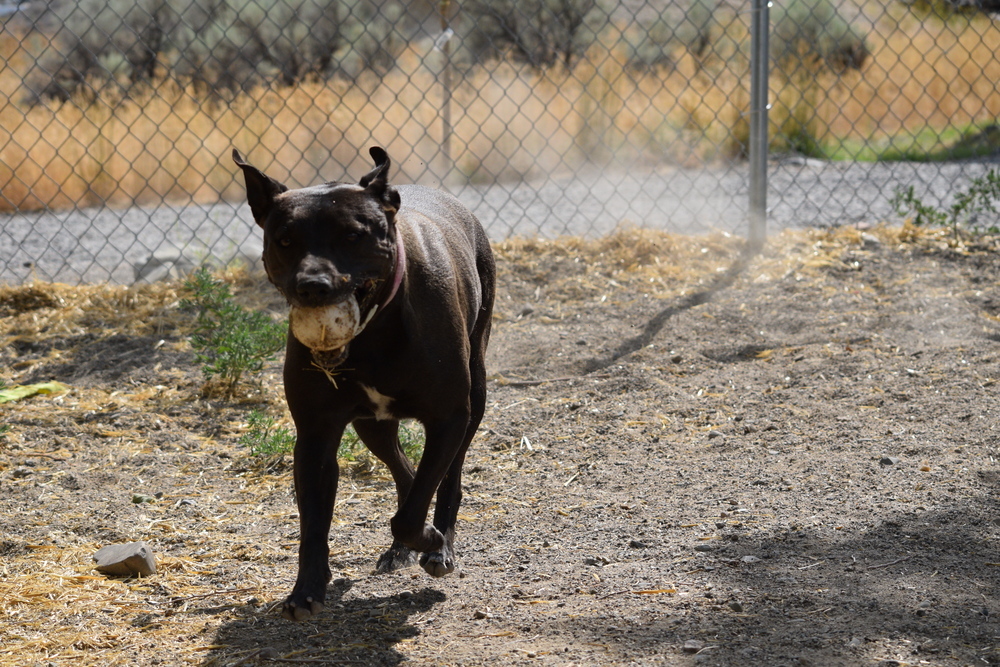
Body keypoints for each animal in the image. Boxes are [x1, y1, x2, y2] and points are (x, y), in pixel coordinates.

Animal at [231, 146, 496, 620]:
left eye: (353, 236)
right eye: (284, 240)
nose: (312, 286)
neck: (374, 331)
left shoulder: (449, 417)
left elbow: (413, 511)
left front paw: (430, 539)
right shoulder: (316, 433)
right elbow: (314, 521)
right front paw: (307, 588)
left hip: (475, 398)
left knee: (448, 478)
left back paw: (439, 545)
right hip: (371, 426)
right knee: (405, 472)